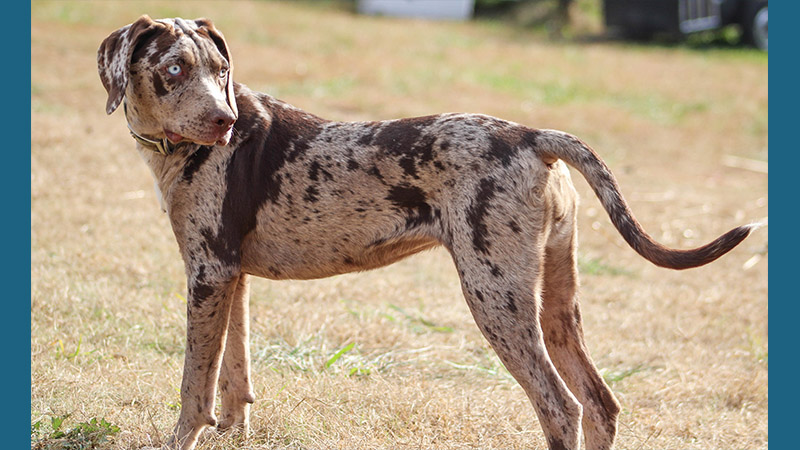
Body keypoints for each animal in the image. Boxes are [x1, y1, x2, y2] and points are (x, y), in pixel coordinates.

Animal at [97, 14, 752, 450]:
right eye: (175, 69)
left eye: (221, 71)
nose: (225, 122)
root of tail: (532, 136)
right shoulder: (232, 277)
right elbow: (233, 380)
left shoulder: (208, 276)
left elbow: (194, 388)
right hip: (556, 303)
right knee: (599, 404)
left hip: (495, 297)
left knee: (560, 408)